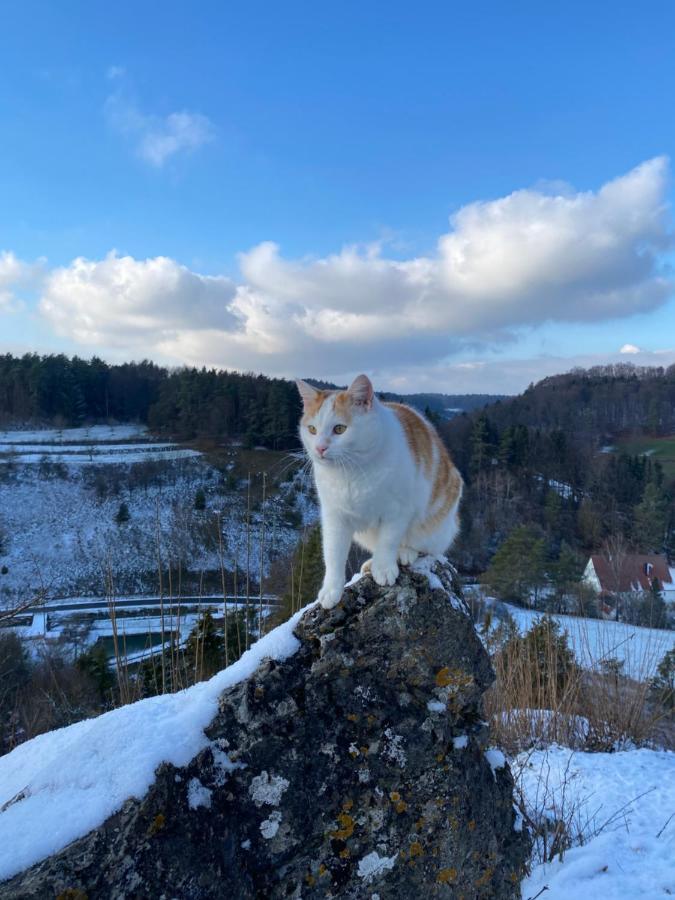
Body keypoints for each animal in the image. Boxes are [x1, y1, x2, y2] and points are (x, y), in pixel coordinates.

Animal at [298, 372, 464, 612]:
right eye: (312, 429)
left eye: (339, 429)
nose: (319, 448)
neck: (351, 473)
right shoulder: (334, 516)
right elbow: (333, 554)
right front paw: (331, 589)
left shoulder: (398, 511)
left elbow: (388, 540)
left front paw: (384, 568)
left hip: (436, 525)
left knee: (423, 547)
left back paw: (404, 553)